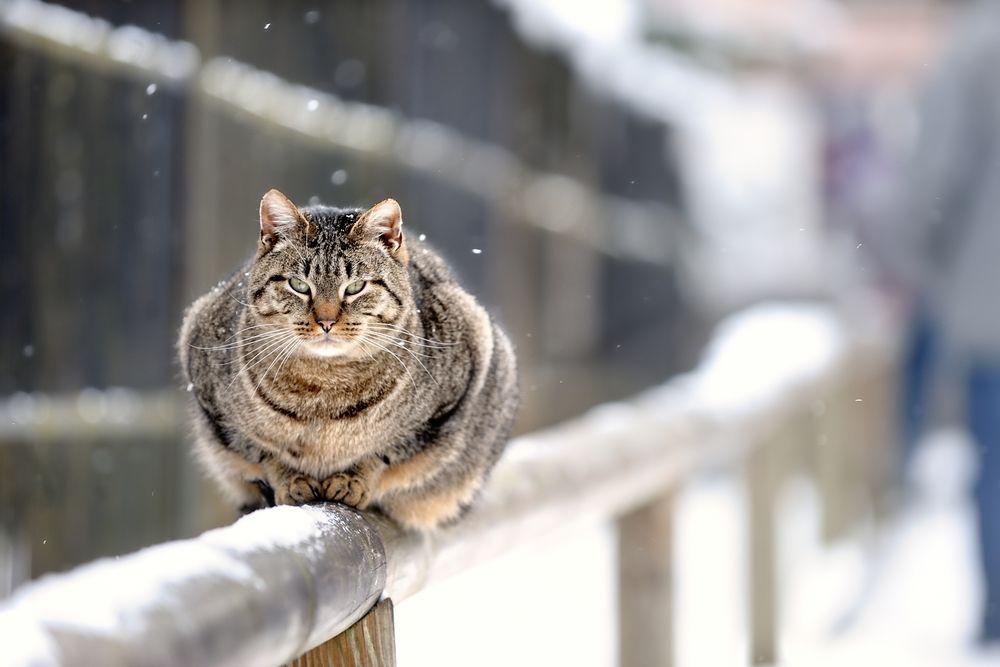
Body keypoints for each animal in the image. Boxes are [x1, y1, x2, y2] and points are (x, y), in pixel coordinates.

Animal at [179, 189, 520, 532]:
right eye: (299, 286)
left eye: (356, 287)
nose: (326, 321)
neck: (323, 387)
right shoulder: (209, 392)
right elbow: (262, 452)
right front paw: (291, 479)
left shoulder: (455, 389)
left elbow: (388, 451)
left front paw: (353, 479)